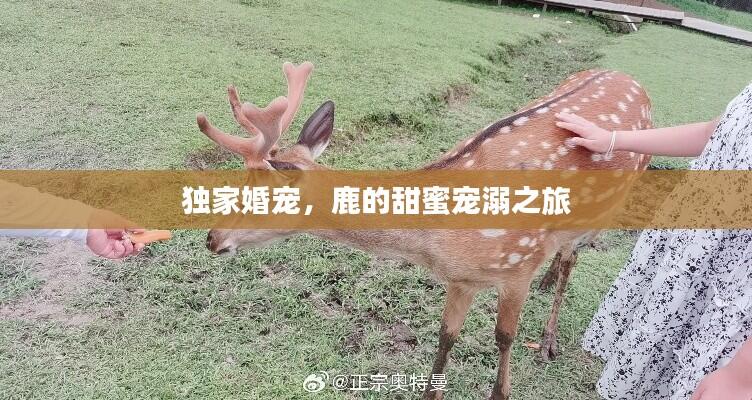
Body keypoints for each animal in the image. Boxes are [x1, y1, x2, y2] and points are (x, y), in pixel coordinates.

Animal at [196, 61, 652, 399]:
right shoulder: (459, 278)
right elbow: (446, 337)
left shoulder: (518, 263)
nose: (212, 239)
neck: (440, 240)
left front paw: (501, 389)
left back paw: (548, 342)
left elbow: (504, 337)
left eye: (258, 193)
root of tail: (633, 80)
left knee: (574, 257)